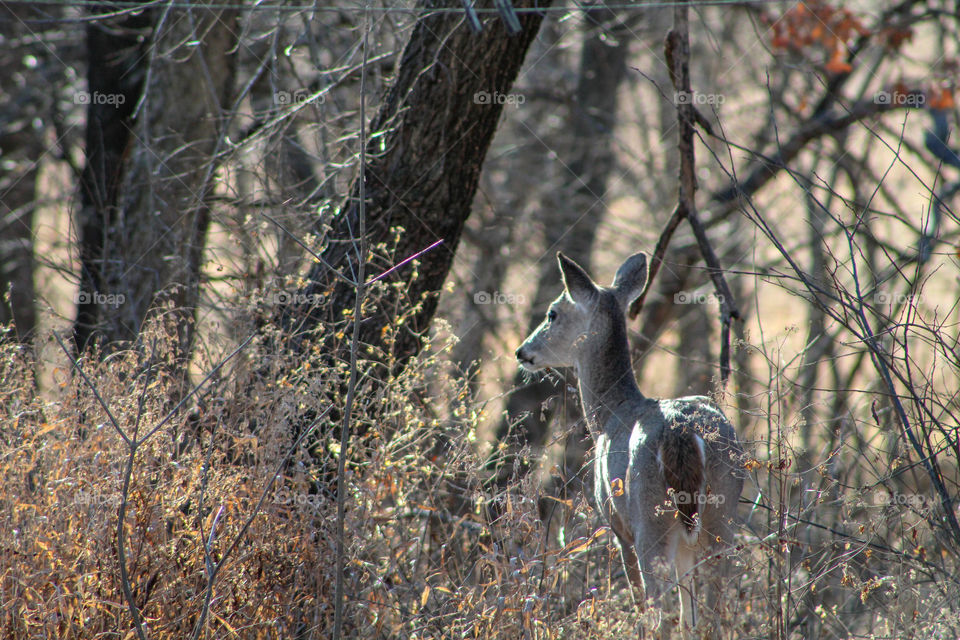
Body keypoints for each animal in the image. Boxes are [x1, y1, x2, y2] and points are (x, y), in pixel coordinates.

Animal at [515, 252, 744, 637]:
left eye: (552, 313)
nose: (521, 351)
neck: (609, 415)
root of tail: (681, 432)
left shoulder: (617, 525)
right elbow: (690, 615)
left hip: (649, 520)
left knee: (659, 609)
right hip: (721, 516)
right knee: (716, 609)